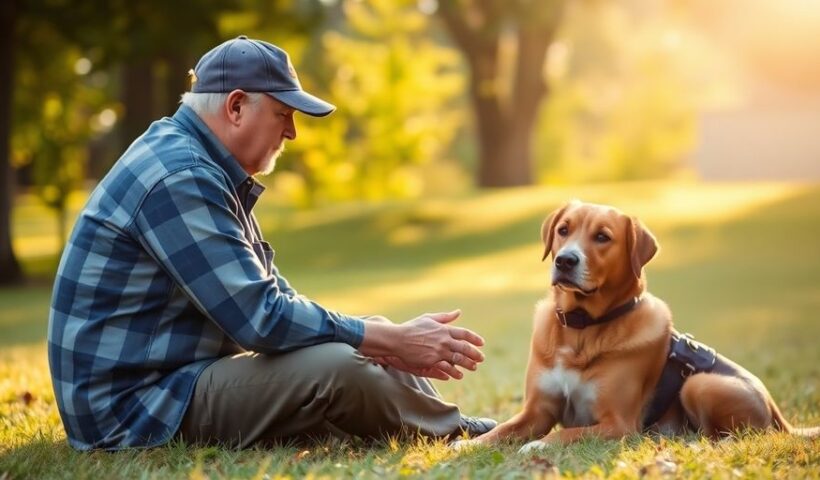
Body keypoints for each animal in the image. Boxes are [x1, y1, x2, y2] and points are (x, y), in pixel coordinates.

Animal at [458, 201, 816, 452]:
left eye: (602, 237)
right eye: (563, 230)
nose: (564, 261)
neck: (582, 328)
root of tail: (777, 412)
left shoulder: (618, 425)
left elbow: (570, 432)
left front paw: (537, 446)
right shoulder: (537, 412)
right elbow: (502, 430)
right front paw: (467, 443)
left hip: (699, 384)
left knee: (738, 436)